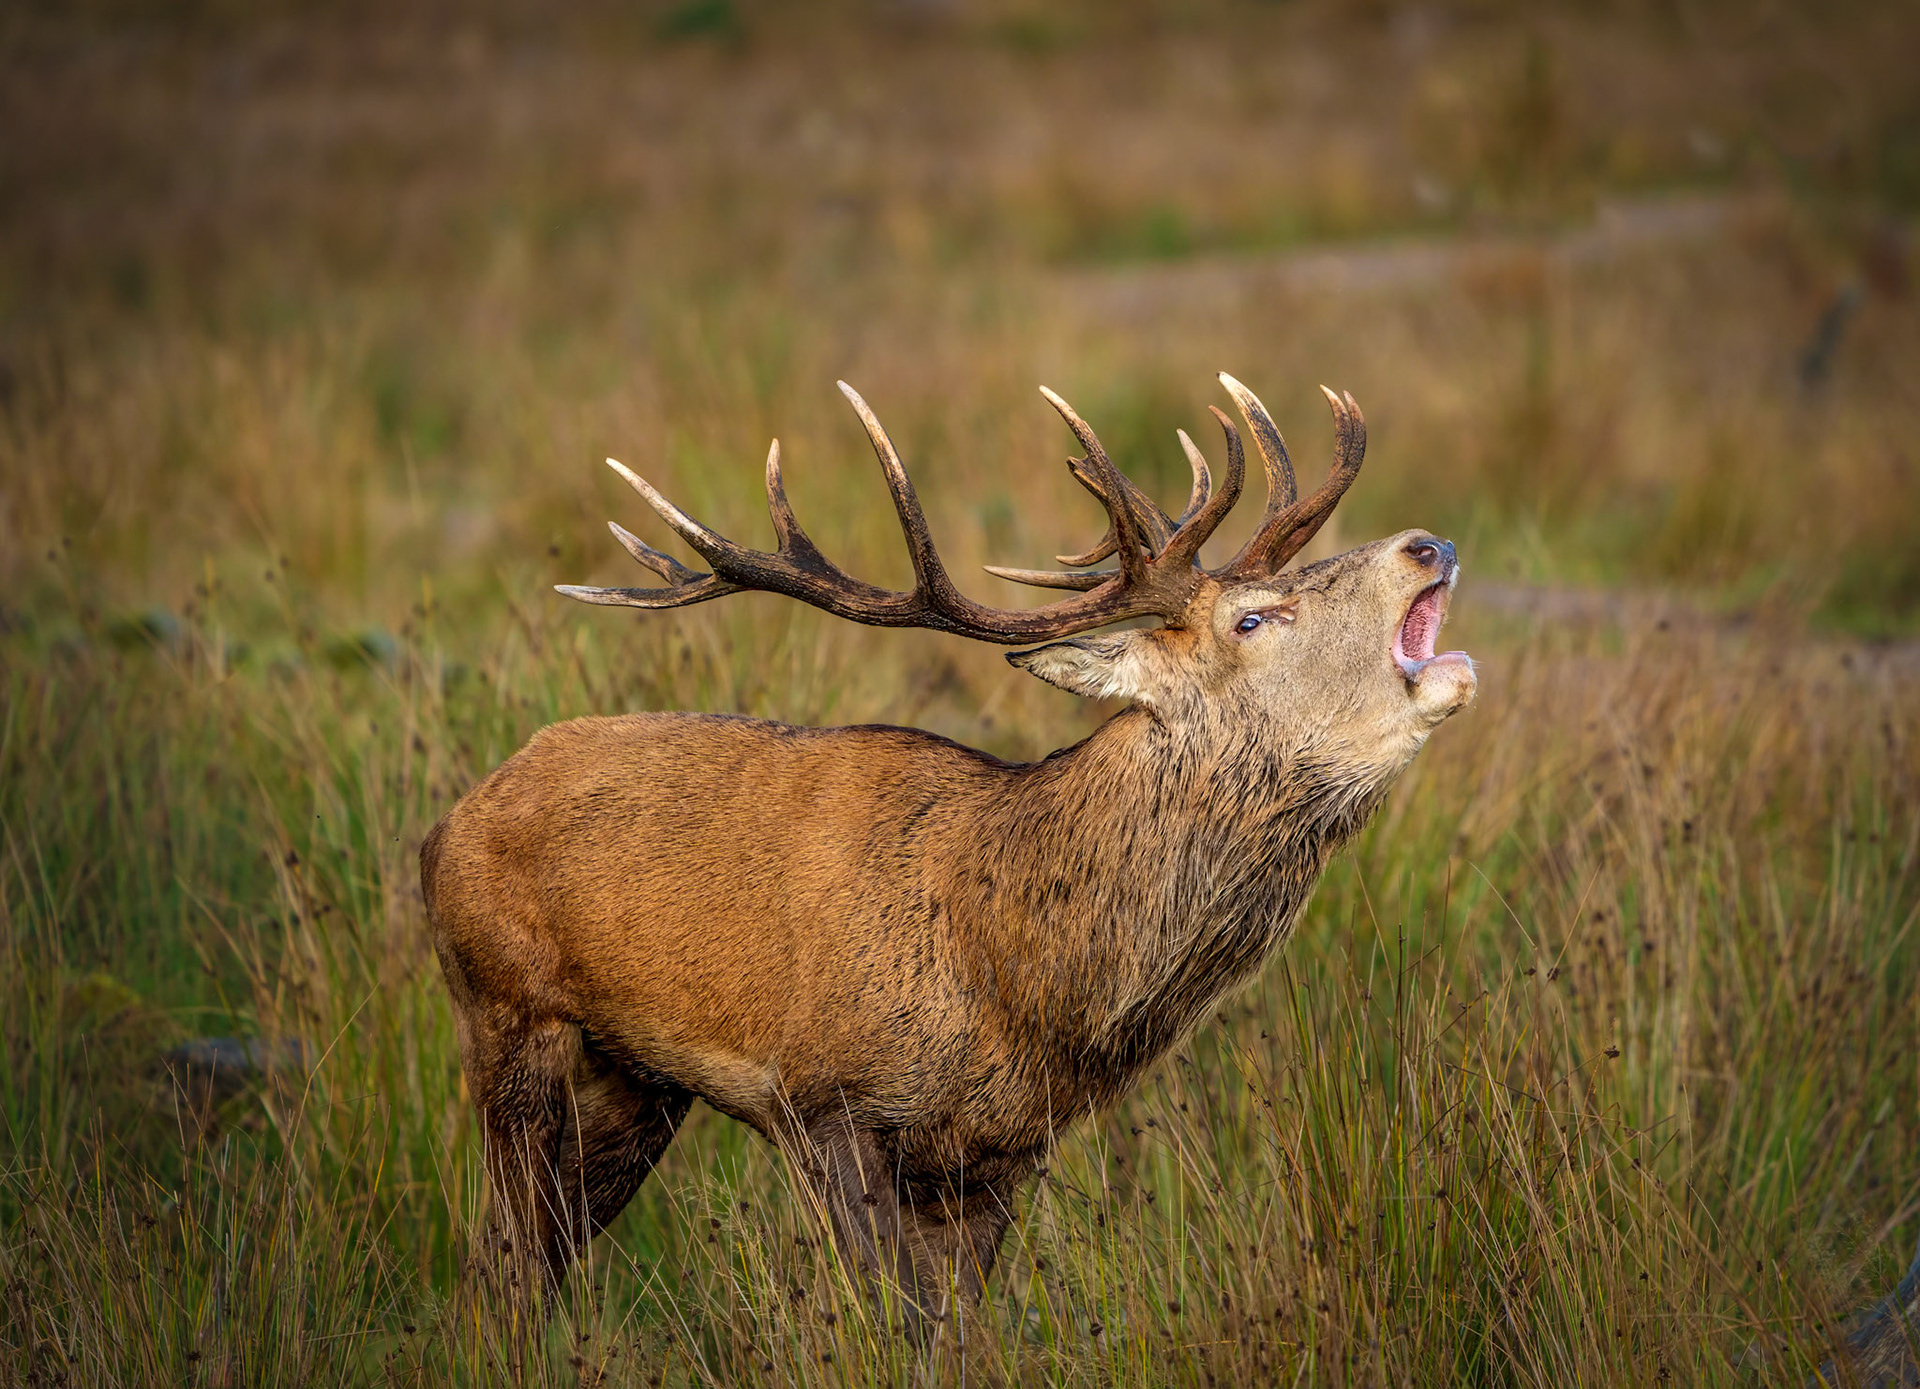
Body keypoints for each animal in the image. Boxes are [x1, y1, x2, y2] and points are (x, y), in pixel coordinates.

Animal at [421, 372, 1476, 1331]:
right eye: (1252, 618)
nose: (1430, 543)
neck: (1008, 975)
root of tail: (446, 825)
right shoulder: (822, 1096)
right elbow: (904, 1319)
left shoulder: (1004, 1152)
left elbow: (959, 1325)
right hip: (506, 1008)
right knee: (504, 1259)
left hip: (635, 1080)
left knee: (533, 1251)